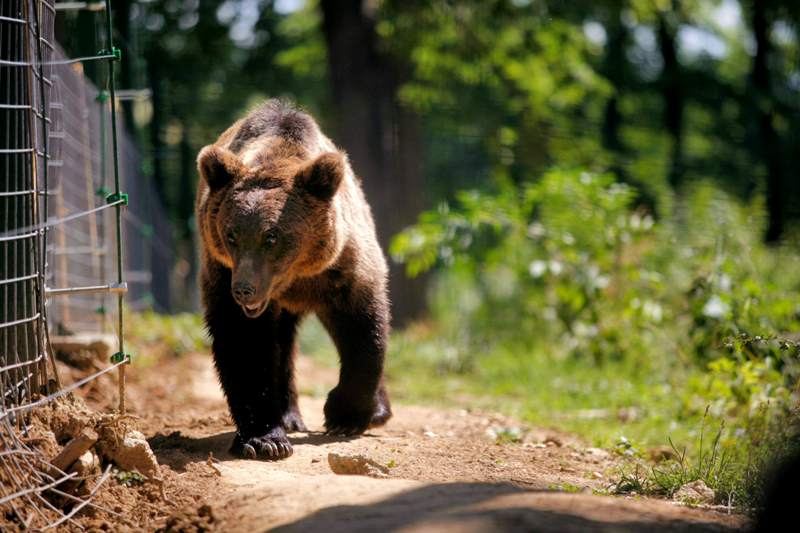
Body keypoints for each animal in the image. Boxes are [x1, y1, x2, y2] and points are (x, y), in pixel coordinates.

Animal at [195, 102, 392, 460]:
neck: (294, 276)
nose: (244, 289)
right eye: (231, 234)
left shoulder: (342, 267)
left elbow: (364, 328)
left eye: (271, 236)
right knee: (281, 344)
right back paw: (287, 415)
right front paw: (265, 438)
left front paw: (344, 415)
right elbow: (243, 342)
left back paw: (377, 411)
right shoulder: (221, 270)